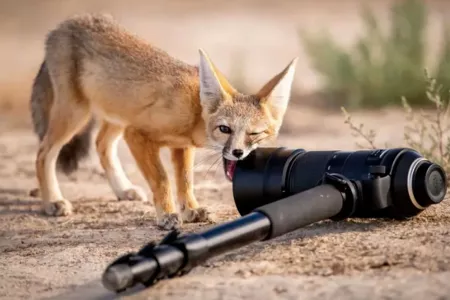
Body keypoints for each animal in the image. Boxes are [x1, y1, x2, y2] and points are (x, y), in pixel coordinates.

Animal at [29, 12, 298, 230]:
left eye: (255, 133)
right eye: (225, 129)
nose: (238, 153)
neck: (193, 110)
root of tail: (65, 24)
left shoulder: (181, 146)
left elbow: (185, 181)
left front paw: (191, 210)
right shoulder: (137, 135)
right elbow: (162, 180)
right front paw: (167, 215)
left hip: (118, 116)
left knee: (101, 144)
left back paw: (122, 189)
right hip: (77, 114)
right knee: (43, 153)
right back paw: (52, 200)